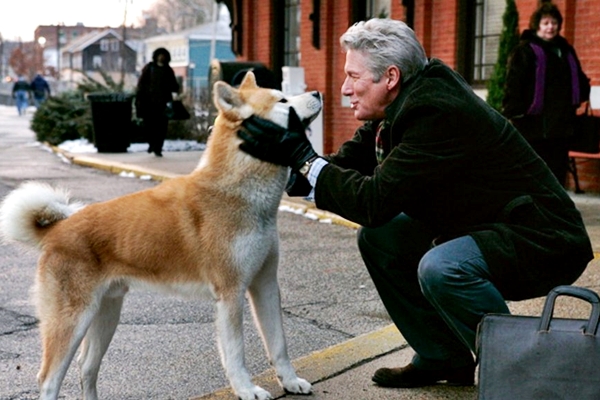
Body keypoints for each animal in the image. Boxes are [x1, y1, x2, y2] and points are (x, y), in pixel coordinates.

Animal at [0, 72, 324, 400]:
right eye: (282, 99)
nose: (318, 93)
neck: (238, 193)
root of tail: (57, 230)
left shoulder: (265, 284)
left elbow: (280, 345)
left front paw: (290, 381)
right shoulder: (231, 293)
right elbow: (236, 353)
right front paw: (246, 389)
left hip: (106, 314)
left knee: (86, 368)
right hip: (72, 321)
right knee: (49, 379)